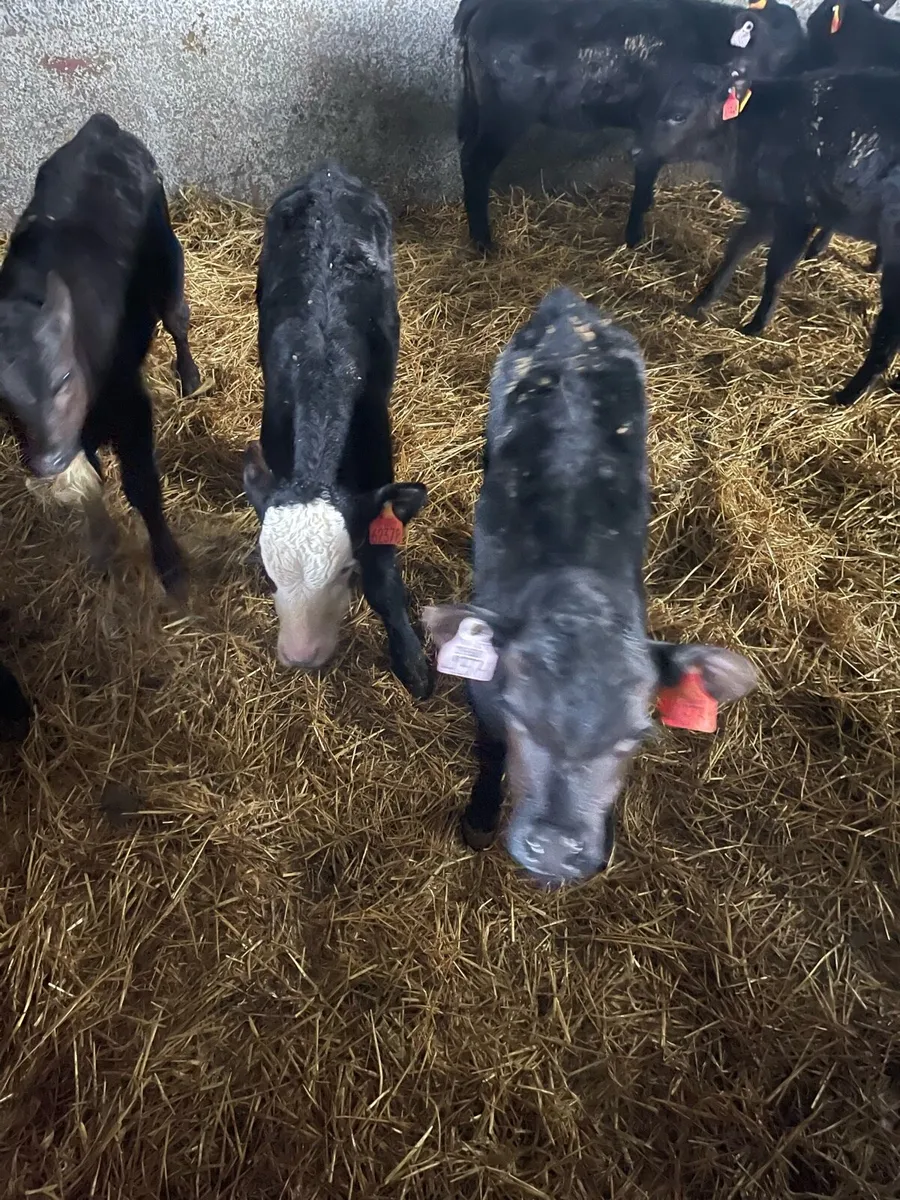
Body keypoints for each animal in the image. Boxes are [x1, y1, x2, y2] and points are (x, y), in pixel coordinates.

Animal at [0, 113, 200, 601]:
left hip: (169, 265)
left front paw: (171, 567)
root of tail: (99, 127)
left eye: (62, 377)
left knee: (178, 320)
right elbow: (93, 475)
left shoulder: (132, 405)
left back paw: (189, 377)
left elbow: (142, 486)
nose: (47, 462)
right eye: (2, 398)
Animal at [243, 164, 432, 699]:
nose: (302, 656)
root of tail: (328, 171)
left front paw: (411, 661)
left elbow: (385, 577)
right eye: (271, 573)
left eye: (346, 571)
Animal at [423, 288, 757, 887]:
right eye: (520, 717)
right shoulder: (482, 696)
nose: (556, 849)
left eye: (635, 737)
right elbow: (489, 751)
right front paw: (478, 820)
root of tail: (570, 305)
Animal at [453, 0, 805, 253]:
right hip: (505, 114)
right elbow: (647, 168)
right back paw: (483, 242)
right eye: (765, 48)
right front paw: (635, 236)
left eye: (796, 51)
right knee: (476, 162)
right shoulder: (659, 120)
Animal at [638, 65, 900, 405]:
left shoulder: (797, 213)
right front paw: (702, 301)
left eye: (678, 115)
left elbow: (776, 269)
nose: (636, 150)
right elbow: (737, 247)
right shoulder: (767, 206)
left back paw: (850, 393)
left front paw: (758, 323)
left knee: (890, 325)